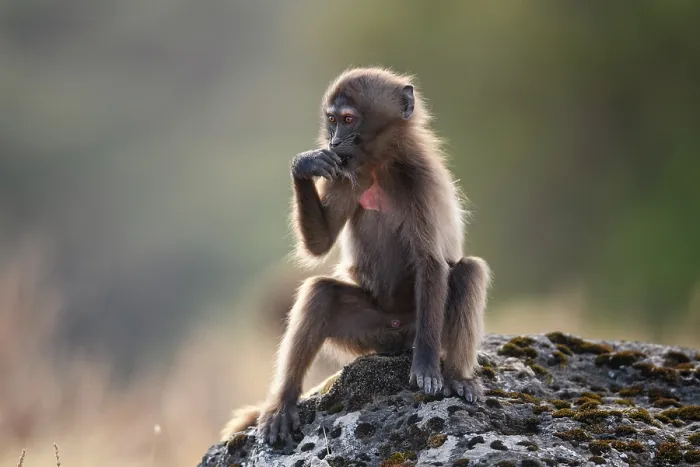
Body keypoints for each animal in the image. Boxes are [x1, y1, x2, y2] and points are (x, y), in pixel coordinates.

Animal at [221, 67, 492, 445]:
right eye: (332, 120)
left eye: (349, 119)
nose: (334, 143)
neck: (380, 165)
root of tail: (397, 331)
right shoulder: (344, 174)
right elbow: (319, 246)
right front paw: (304, 165)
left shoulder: (419, 180)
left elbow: (431, 261)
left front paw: (426, 367)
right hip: (369, 331)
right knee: (320, 292)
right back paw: (282, 405)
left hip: (419, 322)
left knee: (468, 272)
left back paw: (457, 376)